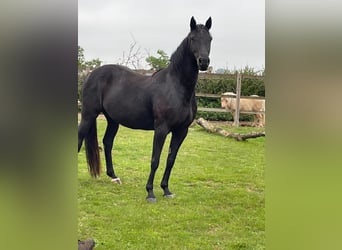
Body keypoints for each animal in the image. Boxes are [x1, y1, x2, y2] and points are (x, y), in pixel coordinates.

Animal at [79, 16, 212, 201]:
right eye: (193, 38)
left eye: (210, 39)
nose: (204, 62)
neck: (176, 86)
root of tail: (91, 74)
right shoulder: (161, 129)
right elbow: (155, 160)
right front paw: (150, 192)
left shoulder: (181, 131)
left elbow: (171, 160)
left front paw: (166, 190)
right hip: (88, 115)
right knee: (79, 139)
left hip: (112, 120)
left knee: (107, 142)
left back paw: (114, 177)